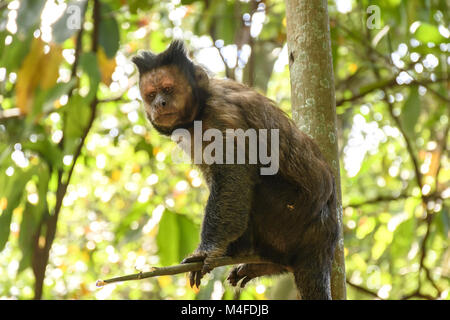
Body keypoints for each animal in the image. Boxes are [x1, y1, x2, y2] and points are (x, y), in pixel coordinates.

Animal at [132, 40, 340, 300]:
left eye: (168, 89)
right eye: (151, 95)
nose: (159, 103)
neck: (200, 111)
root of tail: (326, 235)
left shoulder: (221, 116)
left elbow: (233, 175)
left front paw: (207, 250)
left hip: (291, 216)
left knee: (254, 183)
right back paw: (265, 264)